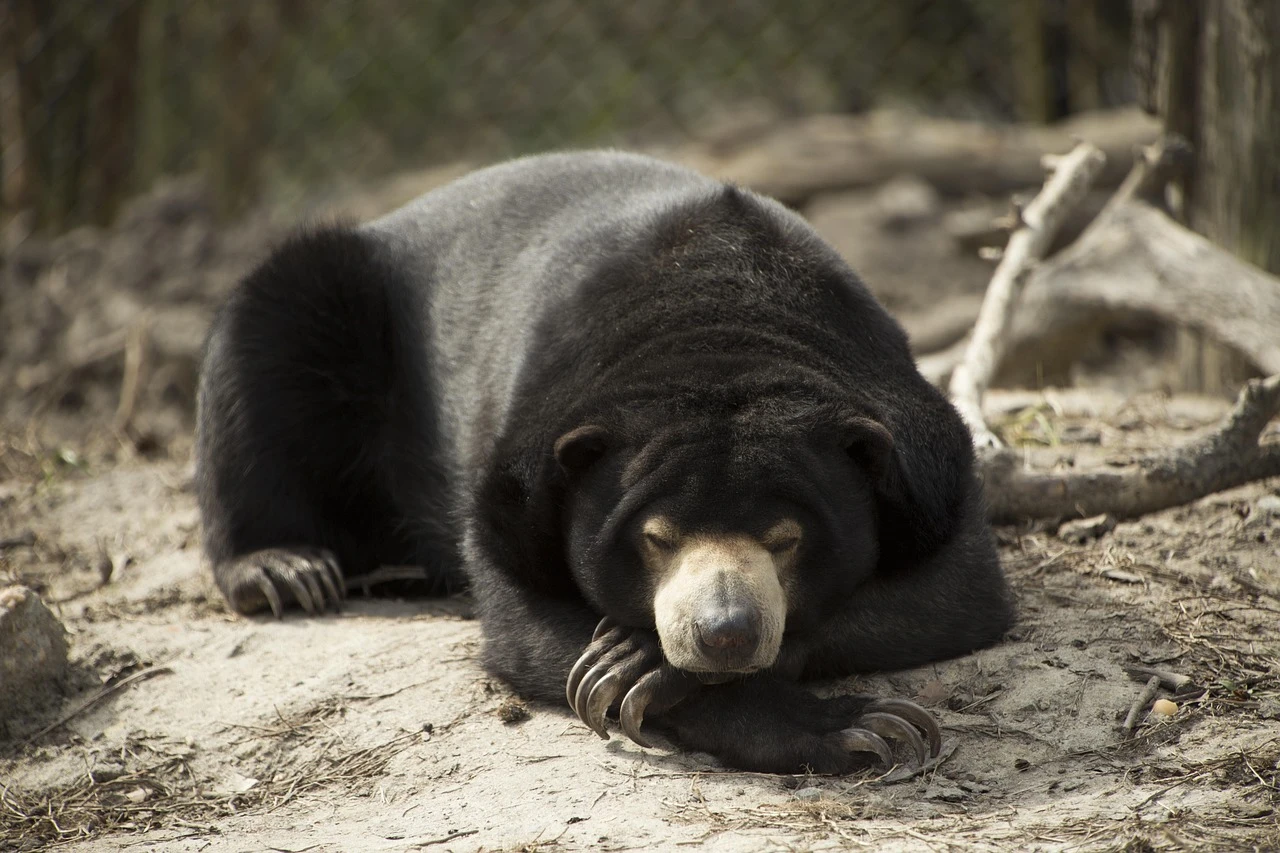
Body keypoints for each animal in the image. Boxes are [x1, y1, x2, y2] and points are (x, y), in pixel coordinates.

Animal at [195, 151, 1014, 774]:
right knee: (264, 344)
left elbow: (953, 592)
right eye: (655, 537)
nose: (724, 632)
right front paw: (856, 726)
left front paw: (645, 660)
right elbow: (530, 624)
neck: (720, 319)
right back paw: (284, 568)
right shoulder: (517, 482)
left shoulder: (926, 469)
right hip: (335, 305)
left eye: (787, 538)